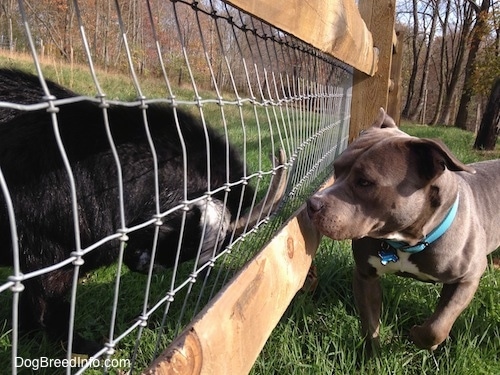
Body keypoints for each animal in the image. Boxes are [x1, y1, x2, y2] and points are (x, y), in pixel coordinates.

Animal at [306, 108, 498, 352]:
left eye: (365, 182)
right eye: (336, 168)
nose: (312, 203)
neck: (407, 240)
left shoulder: (467, 278)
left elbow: (436, 327)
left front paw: (418, 335)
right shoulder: (365, 275)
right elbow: (370, 324)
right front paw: (372, 355)